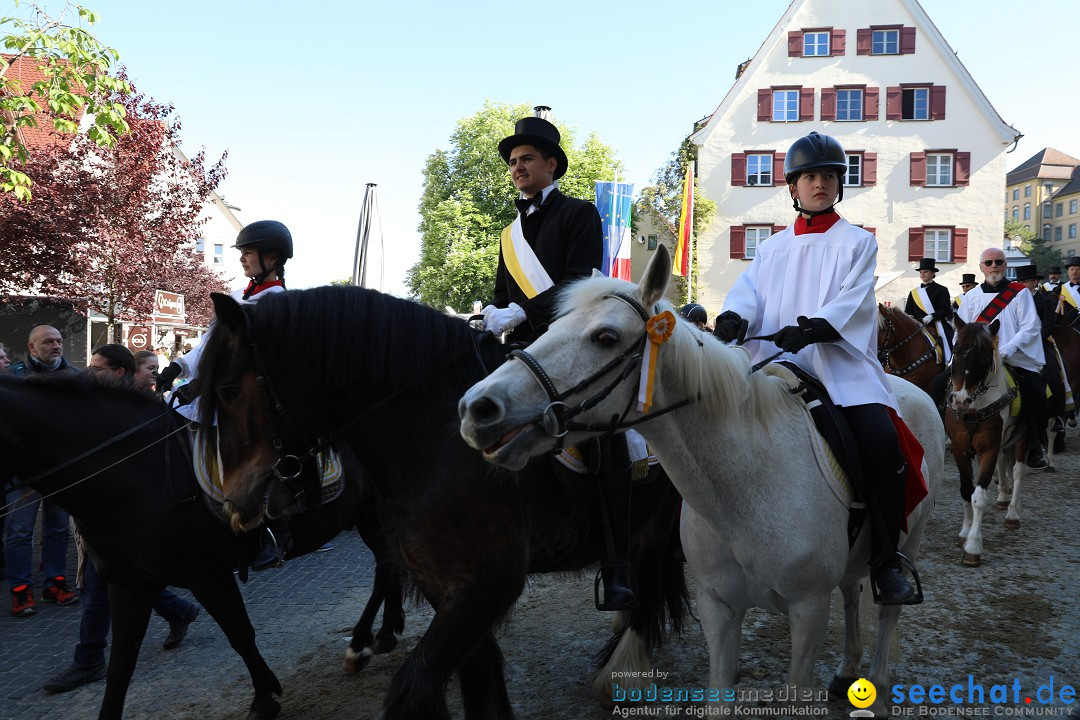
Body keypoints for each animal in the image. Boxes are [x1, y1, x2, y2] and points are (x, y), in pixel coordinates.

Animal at [190, 287, 686, 720]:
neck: (436, 441)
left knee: (647, 589)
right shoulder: (445, 586)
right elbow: (480, 683)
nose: (232, 504)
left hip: (657, 524)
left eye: (229, 391)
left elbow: (414, 688)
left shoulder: (488, 585)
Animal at [460, 245, 941, 716]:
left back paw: (877, 684)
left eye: (605, 337)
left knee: (887, 610)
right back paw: (846, 671)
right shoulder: (719, 609)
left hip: (910, 539)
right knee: (852, 590)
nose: (477, 409)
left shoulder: (808, 610)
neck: (747, 485)